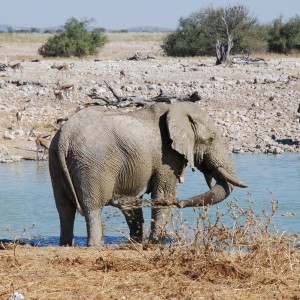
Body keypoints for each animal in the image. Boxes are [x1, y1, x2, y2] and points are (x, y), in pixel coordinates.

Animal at [48, 101, 246, 246]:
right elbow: (163, 194)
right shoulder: (166, 156)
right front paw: (156, 243)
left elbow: (134, 203)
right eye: (211, 139)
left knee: (64, 209)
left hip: (55, 163)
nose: (180, 203)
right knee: (93, 208)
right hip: (91, 164)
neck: (176, 109)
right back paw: (95, 246)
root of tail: (65, 137)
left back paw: (66, 245)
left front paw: (139, 243)